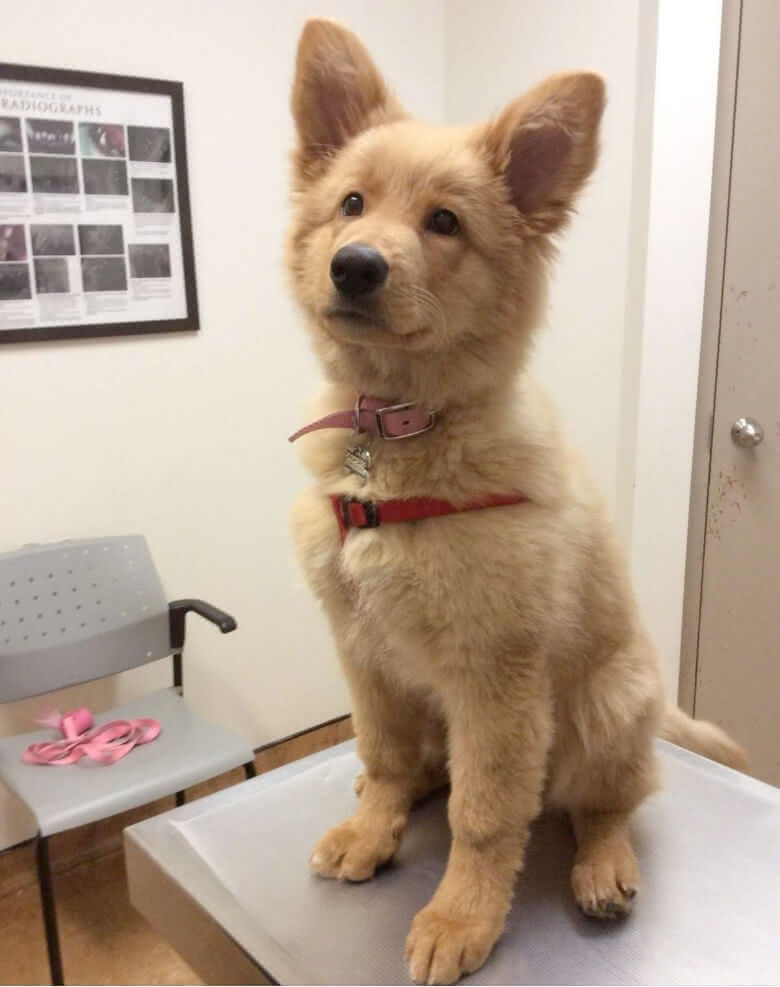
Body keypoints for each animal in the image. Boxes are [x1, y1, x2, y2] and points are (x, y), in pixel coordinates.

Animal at [284, 19, 744, 984]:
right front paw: (373, 827)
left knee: (608, 800)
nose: (355, 267)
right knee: (427, 767)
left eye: (444, 223)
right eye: (351, 204)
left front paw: (461, 916)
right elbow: (383, 749)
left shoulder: (495, 677)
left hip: (608, 705)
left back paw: (604, 867)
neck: (398, 435)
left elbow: (488, 812)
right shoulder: (363, 648)